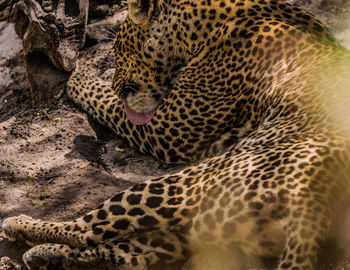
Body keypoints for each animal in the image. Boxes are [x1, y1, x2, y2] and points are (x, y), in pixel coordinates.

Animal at [2, 0, 350, 268]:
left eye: (119, 48)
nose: (117, 81)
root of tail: (315, 204)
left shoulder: (166, 127)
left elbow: (109, 102)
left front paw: (83, 78)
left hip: (193, 183)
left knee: (87, 230)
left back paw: (19, 225)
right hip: (210, 222)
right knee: (130, 254)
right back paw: (46, 255)